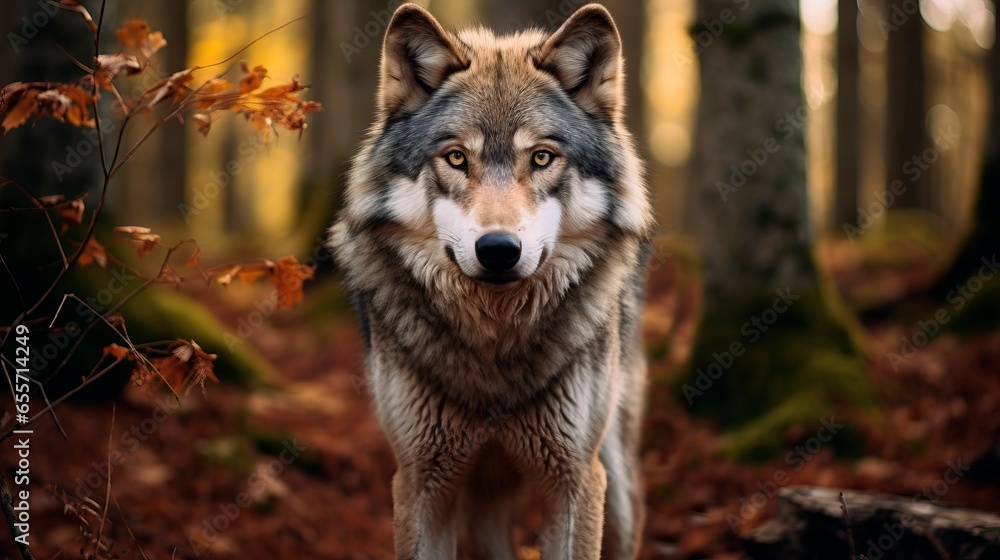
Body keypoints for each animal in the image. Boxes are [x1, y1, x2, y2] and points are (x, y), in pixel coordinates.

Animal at [329, 3, 654, 559]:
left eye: (541, 157)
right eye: (457, 157)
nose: (499, 249)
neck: (494, 345)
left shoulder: (574, 479)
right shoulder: (421, 480)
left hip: (616, 488)